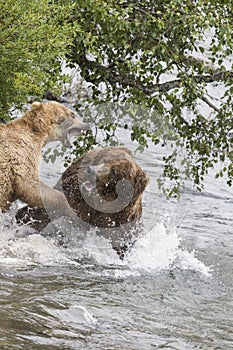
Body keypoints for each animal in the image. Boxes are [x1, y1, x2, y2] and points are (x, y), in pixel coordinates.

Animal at [15, 146, 149, 258]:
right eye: (105, 159)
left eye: (114, 171)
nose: (91, 170)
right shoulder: (78, 200)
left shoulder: (122, 223)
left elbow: (121, 244)